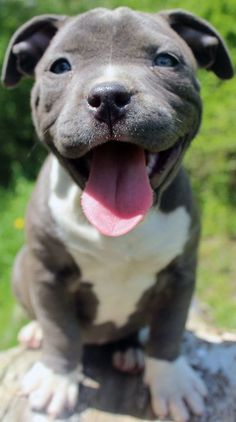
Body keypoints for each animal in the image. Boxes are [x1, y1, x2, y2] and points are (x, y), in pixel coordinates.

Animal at [1, 8, 233, 422]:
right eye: (60, 66)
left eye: (166, 60)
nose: (108, 96)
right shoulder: (47, 273)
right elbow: (60, 329)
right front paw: (57, 380)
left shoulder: (181, 274)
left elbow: (169, 329)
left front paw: (171, 383)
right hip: (21, 268)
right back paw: (36, 333)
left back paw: (131, 350)